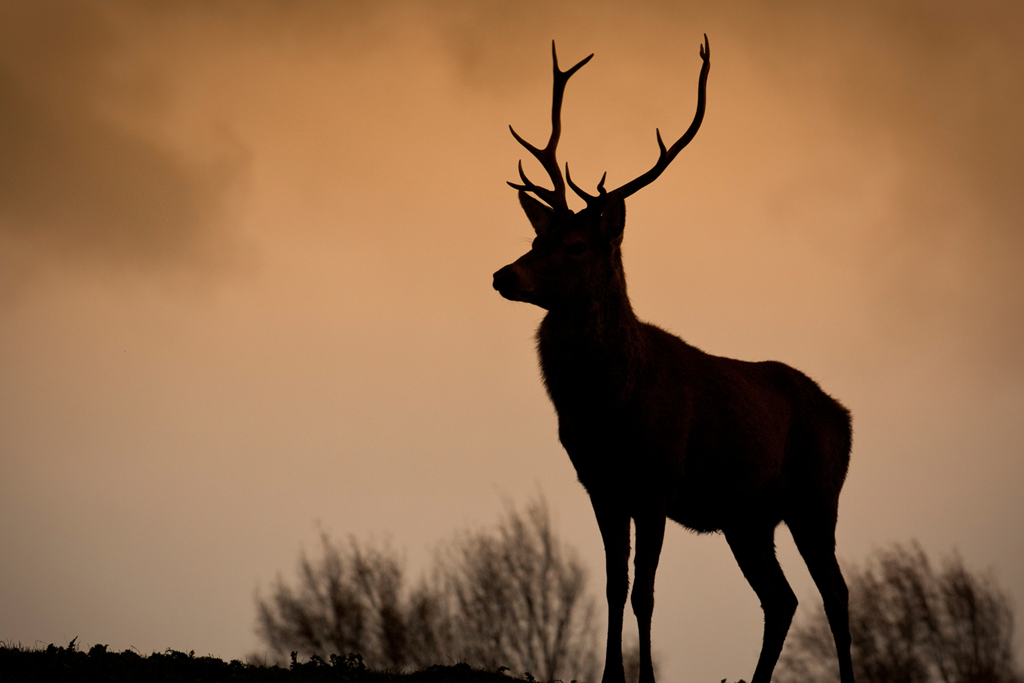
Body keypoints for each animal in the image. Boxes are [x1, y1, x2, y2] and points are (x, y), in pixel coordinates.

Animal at [492, 36, 855, 683]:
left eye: (576, 246)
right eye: (536, 240)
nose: (503, 275)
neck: (608, 409)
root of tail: (846, 417)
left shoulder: (658, 480)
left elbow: (645, 593)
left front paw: (644, 678)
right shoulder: (601, 484)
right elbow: (614, 587)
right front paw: (611, 676)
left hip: (816, 496)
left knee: (834, 593)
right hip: (747, 517)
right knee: (782, 598)